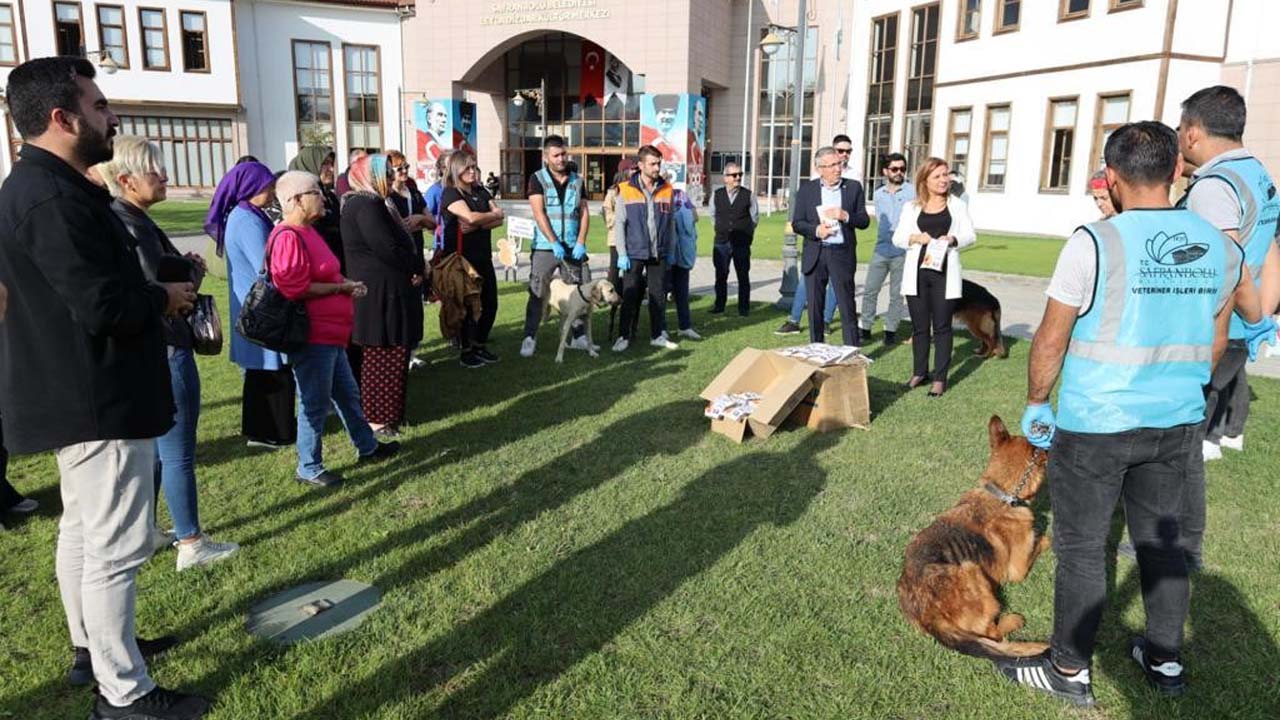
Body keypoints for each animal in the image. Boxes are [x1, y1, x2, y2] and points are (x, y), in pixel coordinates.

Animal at [901, 415, 1049, 655]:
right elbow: (1044, 539)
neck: (1003, 494)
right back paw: (1013, 620)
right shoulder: (1018, 569)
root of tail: (928, 616)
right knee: (992, 633)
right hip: (972, 569)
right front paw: (1044, 537)